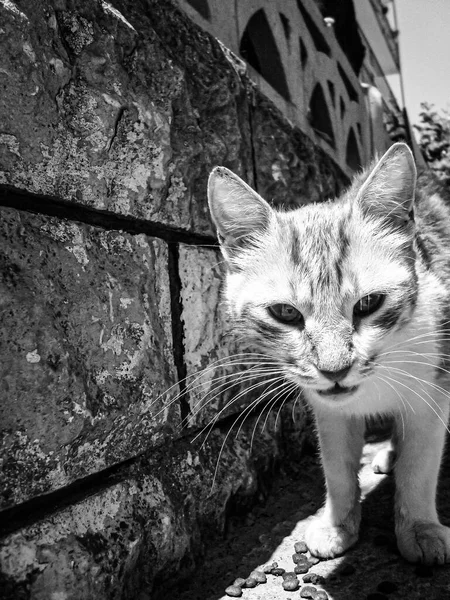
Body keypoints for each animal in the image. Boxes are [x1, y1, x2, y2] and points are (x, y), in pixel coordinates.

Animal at [207, 143, 450, 564]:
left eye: (369, 303)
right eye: (285, 312)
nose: (335, 370)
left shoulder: (432, 388)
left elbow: (420, 465)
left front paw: (420, 527)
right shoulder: (329, 409)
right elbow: (337, 466)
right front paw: (338, 523)